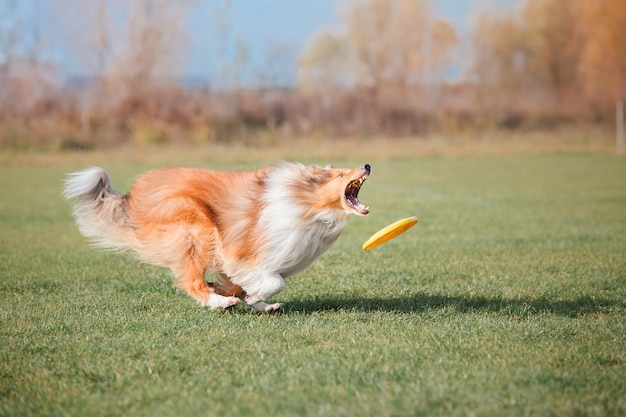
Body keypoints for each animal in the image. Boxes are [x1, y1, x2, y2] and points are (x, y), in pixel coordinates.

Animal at [62, 161, 368, 310]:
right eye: (340, 175)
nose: (367, 166)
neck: (308, 206)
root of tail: (133, 196)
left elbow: (243, 284)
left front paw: (256, 302)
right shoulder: (243, 253)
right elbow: (273, 281)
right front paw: (248, 299)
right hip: (195, 230)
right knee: (191, 282)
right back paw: (221, 303)